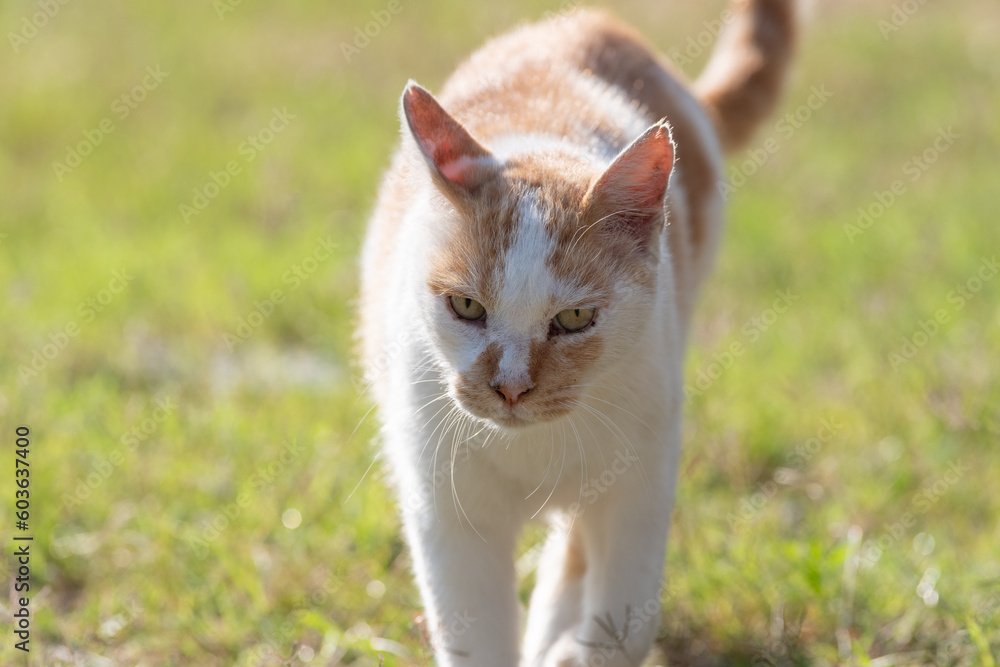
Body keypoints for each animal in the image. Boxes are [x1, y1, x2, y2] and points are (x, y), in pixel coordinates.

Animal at [356, 2, 792, 664]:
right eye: (465, 306)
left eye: (575, 320)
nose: (511, 387)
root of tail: (593, 21)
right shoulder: (447, 513)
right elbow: (476, 639)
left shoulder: (641, 481)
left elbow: (625, 624)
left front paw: (575, 647)